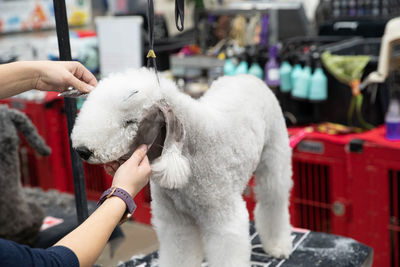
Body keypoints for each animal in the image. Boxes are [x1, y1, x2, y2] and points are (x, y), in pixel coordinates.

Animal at [70, 68, 292, 266]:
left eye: (130, 121)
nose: (82, 150)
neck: (192, 152)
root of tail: (248, 77)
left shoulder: (224, 221)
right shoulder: (177, 224)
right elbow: (179, 252)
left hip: (274, 157)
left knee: (274, 199)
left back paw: (278, 245)